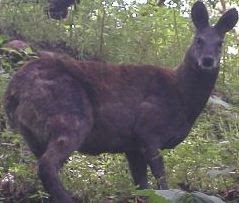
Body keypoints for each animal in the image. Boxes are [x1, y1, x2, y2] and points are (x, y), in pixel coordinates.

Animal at [2, 1, 238, 203]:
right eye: (198, 40)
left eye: (220, 43)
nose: (207, 60)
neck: (182, 97)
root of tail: (13, 90)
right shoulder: (148, 129)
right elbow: (161, 179)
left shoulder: (131, 145)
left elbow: (142, 186)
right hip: (70, 115)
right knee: (47, 165)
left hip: (33, 134)